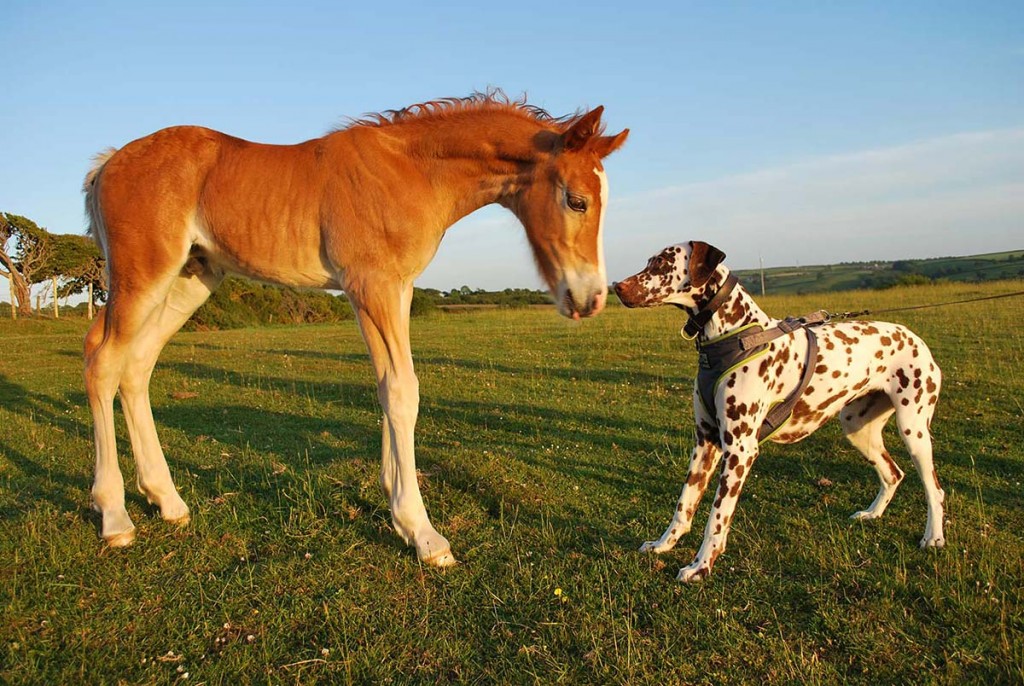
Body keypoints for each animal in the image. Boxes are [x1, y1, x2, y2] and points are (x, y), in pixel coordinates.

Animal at [610, 244, 946, 581]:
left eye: (662, 263)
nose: (617, 286)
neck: (734, 336)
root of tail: (914, 337)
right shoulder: (705, 442)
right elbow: (684, 504)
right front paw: (663, 544)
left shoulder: (740, 449)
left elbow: (716, 517)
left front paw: (700, 566)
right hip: (857, 428)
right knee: (893, 474)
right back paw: (872, 514)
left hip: (913, 430)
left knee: (935, 489)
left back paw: (934, 537)